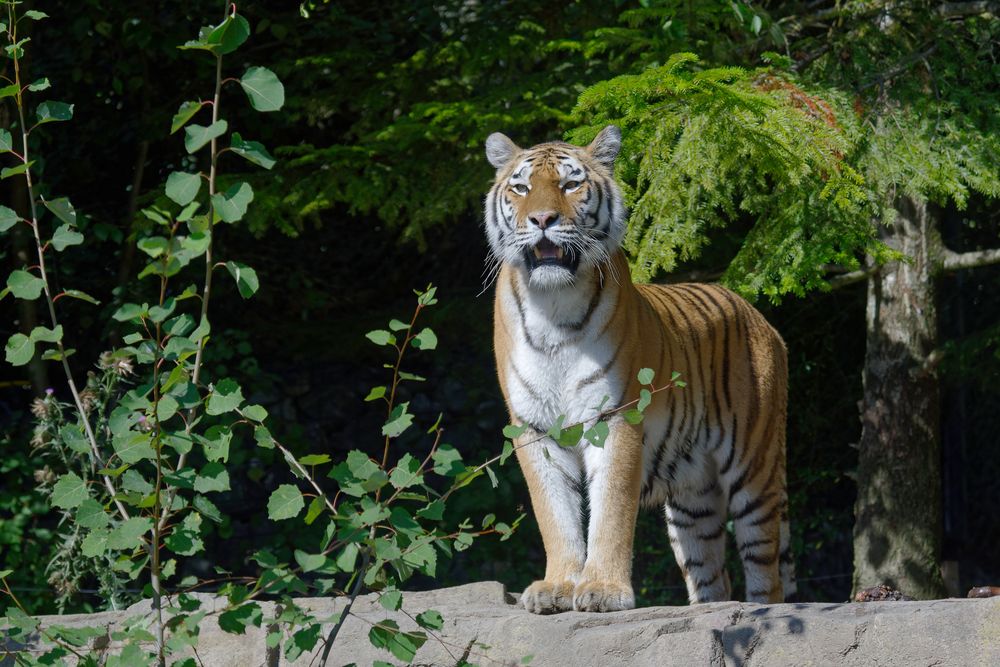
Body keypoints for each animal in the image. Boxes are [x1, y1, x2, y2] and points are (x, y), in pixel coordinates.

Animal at [484, 125, 796, 616]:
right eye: (521, 188)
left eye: (570, 185)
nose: (542, 219)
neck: (553, 307)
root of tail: (762, 319)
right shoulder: (534, 428)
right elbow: (554, 513)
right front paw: (557, 586)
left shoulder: (614, 419)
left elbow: (611, 508)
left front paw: (602, 589)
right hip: (693, 498)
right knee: (712, 576)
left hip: (755, 469)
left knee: (766, 570)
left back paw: (762, 612)